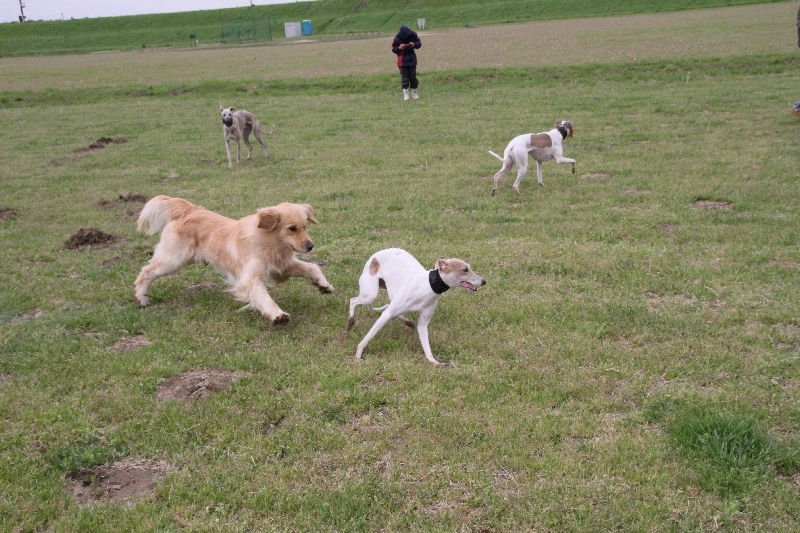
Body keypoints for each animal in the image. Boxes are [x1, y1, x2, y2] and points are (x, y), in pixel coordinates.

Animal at [134, 195, 333, 324]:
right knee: (146, 272)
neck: (270, 242)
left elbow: (312, 267)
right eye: (292, 228)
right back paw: (142, 298)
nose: (310, 246)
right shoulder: (250, 278)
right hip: (173, 260)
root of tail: (189, 211)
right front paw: (277, 315)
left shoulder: (283, 266)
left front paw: (323, 285)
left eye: (305, 226)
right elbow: (263, 296)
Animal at [346, 248, 485, 366]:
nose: (484, 281)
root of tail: (377, 254)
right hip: (371, 294)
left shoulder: (423, 324)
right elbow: (368, 336)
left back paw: (407, 322)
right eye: (465, 269)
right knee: (353, 300)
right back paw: (350, 322)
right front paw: (358, 354)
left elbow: (426, 347)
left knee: (386, 306)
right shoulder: (386, 315)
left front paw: (435, 362)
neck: (427, 286)